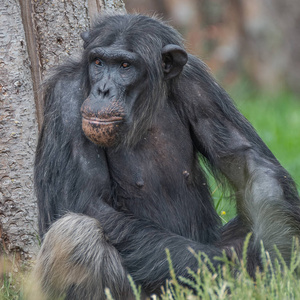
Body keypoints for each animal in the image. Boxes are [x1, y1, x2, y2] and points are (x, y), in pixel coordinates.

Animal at [34, 13, 300, 300]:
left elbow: (250, 161)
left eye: (125, 66)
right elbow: (87, 200)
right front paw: (226, 271)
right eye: (98, 62)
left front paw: (275, 259)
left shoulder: (197, 82)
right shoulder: (67, 95)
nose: (103, 89)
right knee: (74, 234)